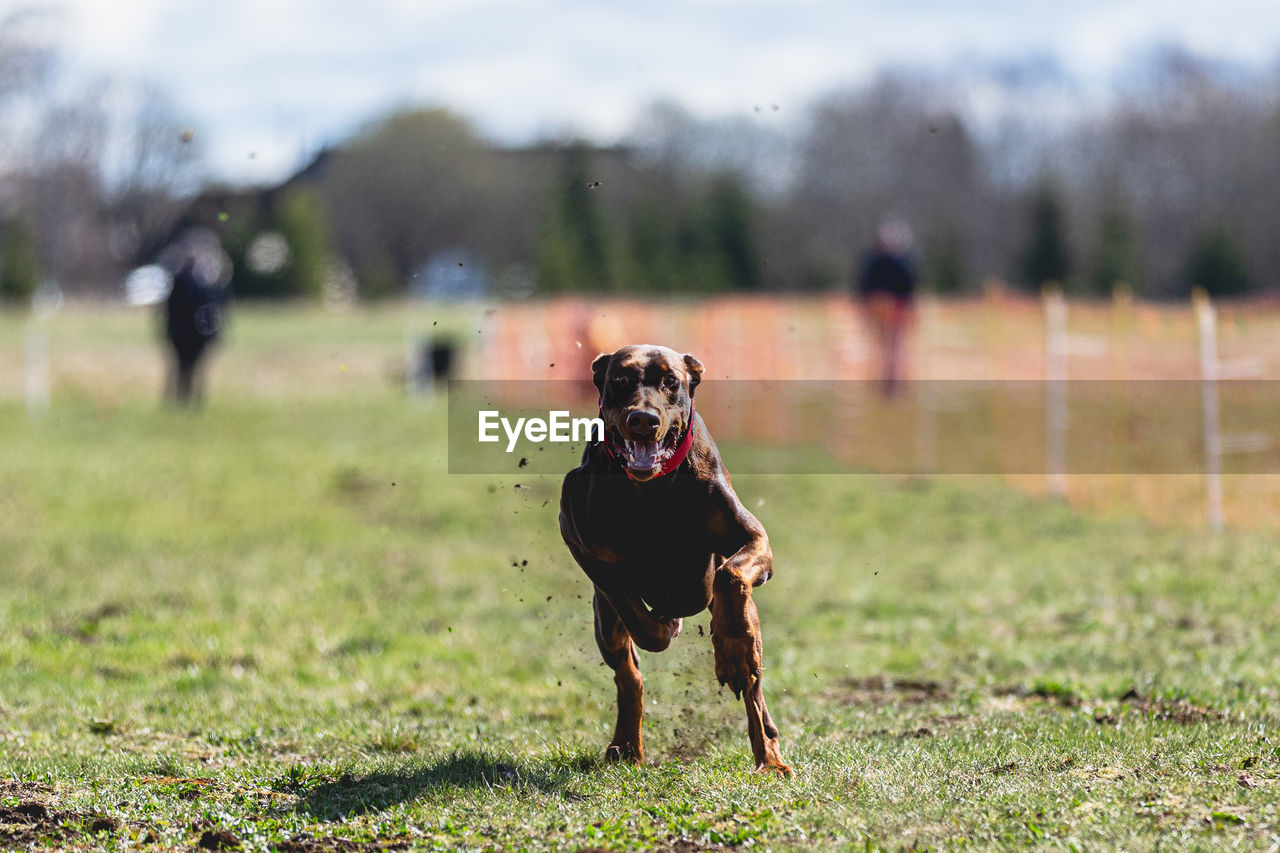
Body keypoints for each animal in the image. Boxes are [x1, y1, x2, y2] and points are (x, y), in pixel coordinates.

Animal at [560, 343, 788, 773]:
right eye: (620, 379)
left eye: (671, 381)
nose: (643, 420)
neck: (653, 489)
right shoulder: (581, 542)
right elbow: (634, 613)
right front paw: (664, 626)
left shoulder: (753, 539)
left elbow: (731, 574)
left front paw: (731, 648)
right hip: (605, 624)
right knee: (628, 674)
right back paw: (626, 746)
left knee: (753, 682)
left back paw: (770, 757)